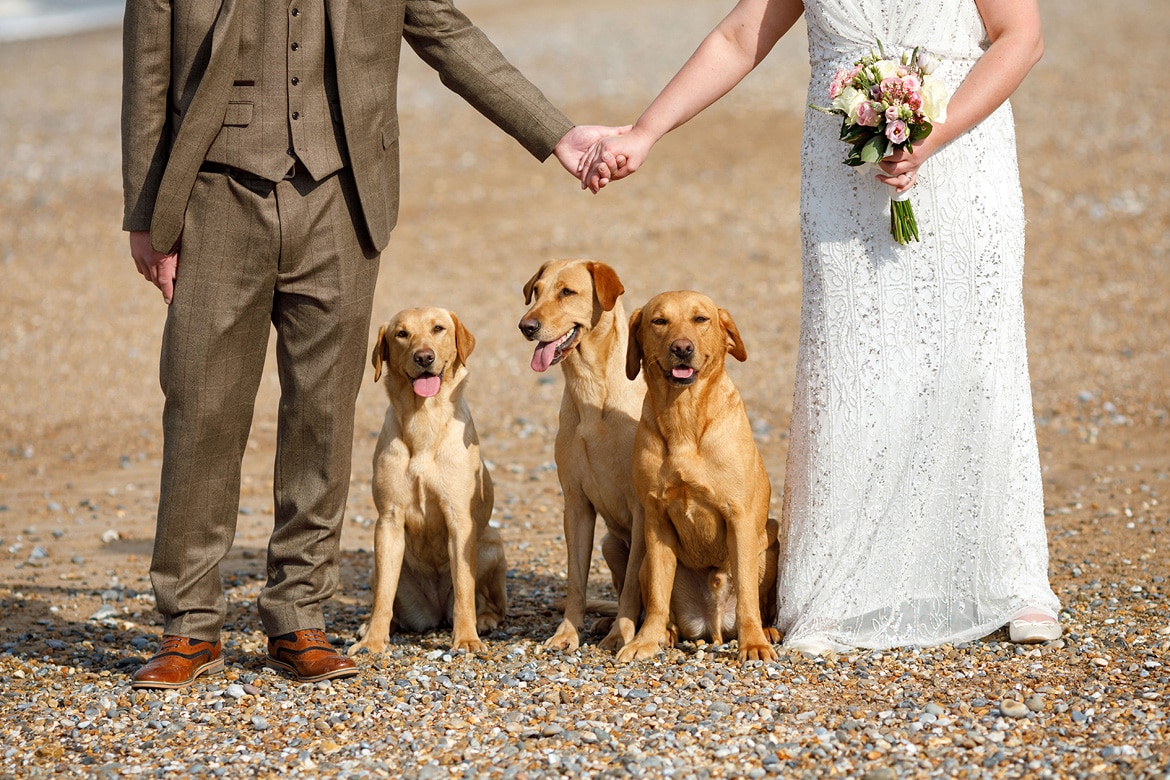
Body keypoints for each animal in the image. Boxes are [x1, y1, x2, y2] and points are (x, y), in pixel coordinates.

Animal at [351, 308, 507, 654]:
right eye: (401, 334)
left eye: (438, 328)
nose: (424, 357)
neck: (423, 421)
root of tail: (435, 613)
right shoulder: (388, 520)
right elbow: (383, 596)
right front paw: (372, 642)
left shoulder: (459, 520)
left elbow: (464, 588)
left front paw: (466, 638)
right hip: (377, 565)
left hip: (492, 546)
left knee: (492, 603)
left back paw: (485, 620)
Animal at [521, 260, 650, 654]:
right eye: (537, 291)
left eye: (567, 292)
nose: (526, 326)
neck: (592, 387)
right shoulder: (576, 505)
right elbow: (575, 582)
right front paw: (566, 633)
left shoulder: (642, 508)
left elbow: (633, 588)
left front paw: (620, 635)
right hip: (610, 545)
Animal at [622, 292, 776, 664]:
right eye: (659, 321)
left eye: (700, 319)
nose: (681, 348)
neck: (684, 415)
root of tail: (714, 622)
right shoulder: (656, 520)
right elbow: (658, 596)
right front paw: (645, 641)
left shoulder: (739, 517)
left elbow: (748, 594)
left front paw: (753, 643)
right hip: (645, 561)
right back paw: (666, 633)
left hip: (771, 542)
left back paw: (767, 630)